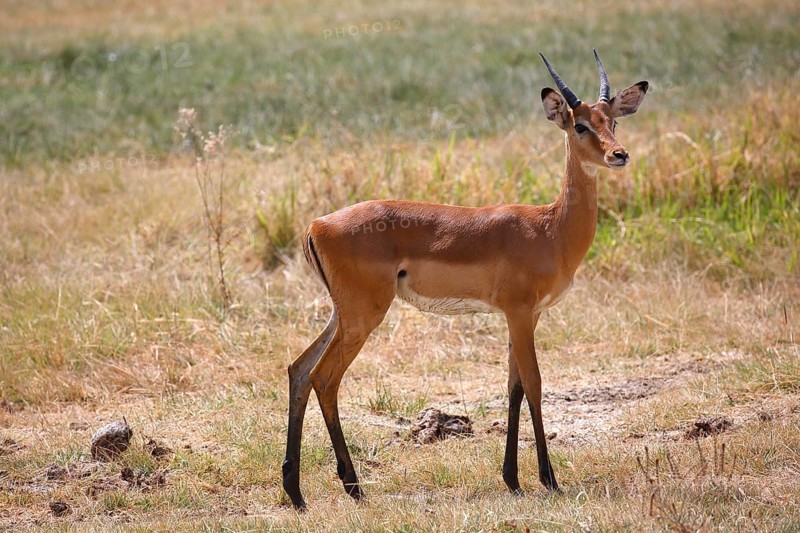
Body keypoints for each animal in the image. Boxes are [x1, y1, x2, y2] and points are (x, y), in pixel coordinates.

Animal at [282, 50, 648, 509]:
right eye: (580, 124)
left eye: (612, 120)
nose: (620, 154)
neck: (550, 228)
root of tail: (316, 225)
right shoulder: (519, 312)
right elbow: (534, 385)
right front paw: (549, 479)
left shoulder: (527, 316)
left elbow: (513, 388)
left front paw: (512, 479)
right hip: (363, 317)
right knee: (324, 378)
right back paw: (353, 486)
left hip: (342, 315)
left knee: (299, 369)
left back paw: (296, 492)